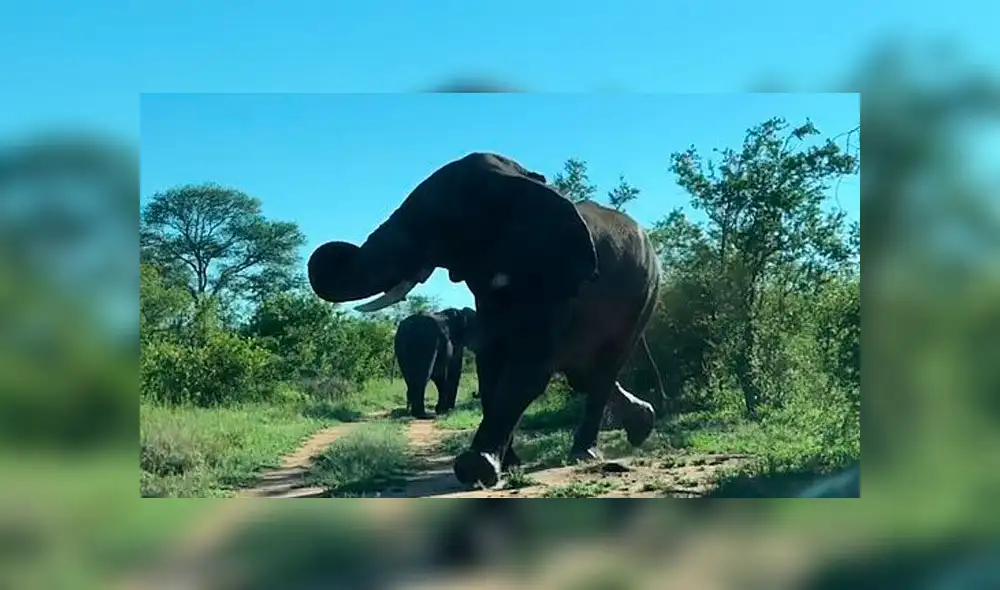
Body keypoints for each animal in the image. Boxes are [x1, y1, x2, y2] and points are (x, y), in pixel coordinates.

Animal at [308, 152, 666, 488]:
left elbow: (528, 371)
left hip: (645, 295)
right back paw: (642, 422)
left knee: (602, 369)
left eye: (445, 222)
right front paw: (507, 464)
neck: (517, 183)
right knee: (582, 374)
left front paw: (476, 468)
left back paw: (585, 452)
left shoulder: (556, 283)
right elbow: (490, 364)